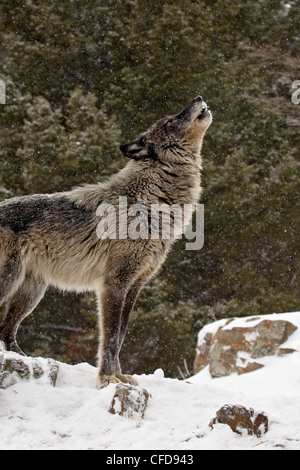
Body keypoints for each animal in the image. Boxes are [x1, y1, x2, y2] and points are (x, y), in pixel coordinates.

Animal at [0, 95, 212, 386]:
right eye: (171, 120)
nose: (199, 98)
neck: (150, 200)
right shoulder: (114, 282)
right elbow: (110, 338)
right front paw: (108, 379)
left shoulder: (135, 285)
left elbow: (120, 336)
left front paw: (120, 376)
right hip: (11, 280)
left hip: (31, 292)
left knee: (6, 332)